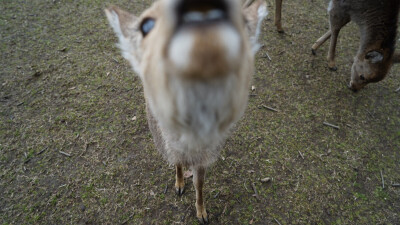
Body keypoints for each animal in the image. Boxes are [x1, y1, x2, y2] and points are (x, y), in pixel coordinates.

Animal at [104, 0, 268, 222]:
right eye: (146, 25)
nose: (200, 9)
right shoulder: (168, 147)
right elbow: (177, 164)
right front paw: (179, 186)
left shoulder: (204, 159)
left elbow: (199, 183)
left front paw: (202, 213)